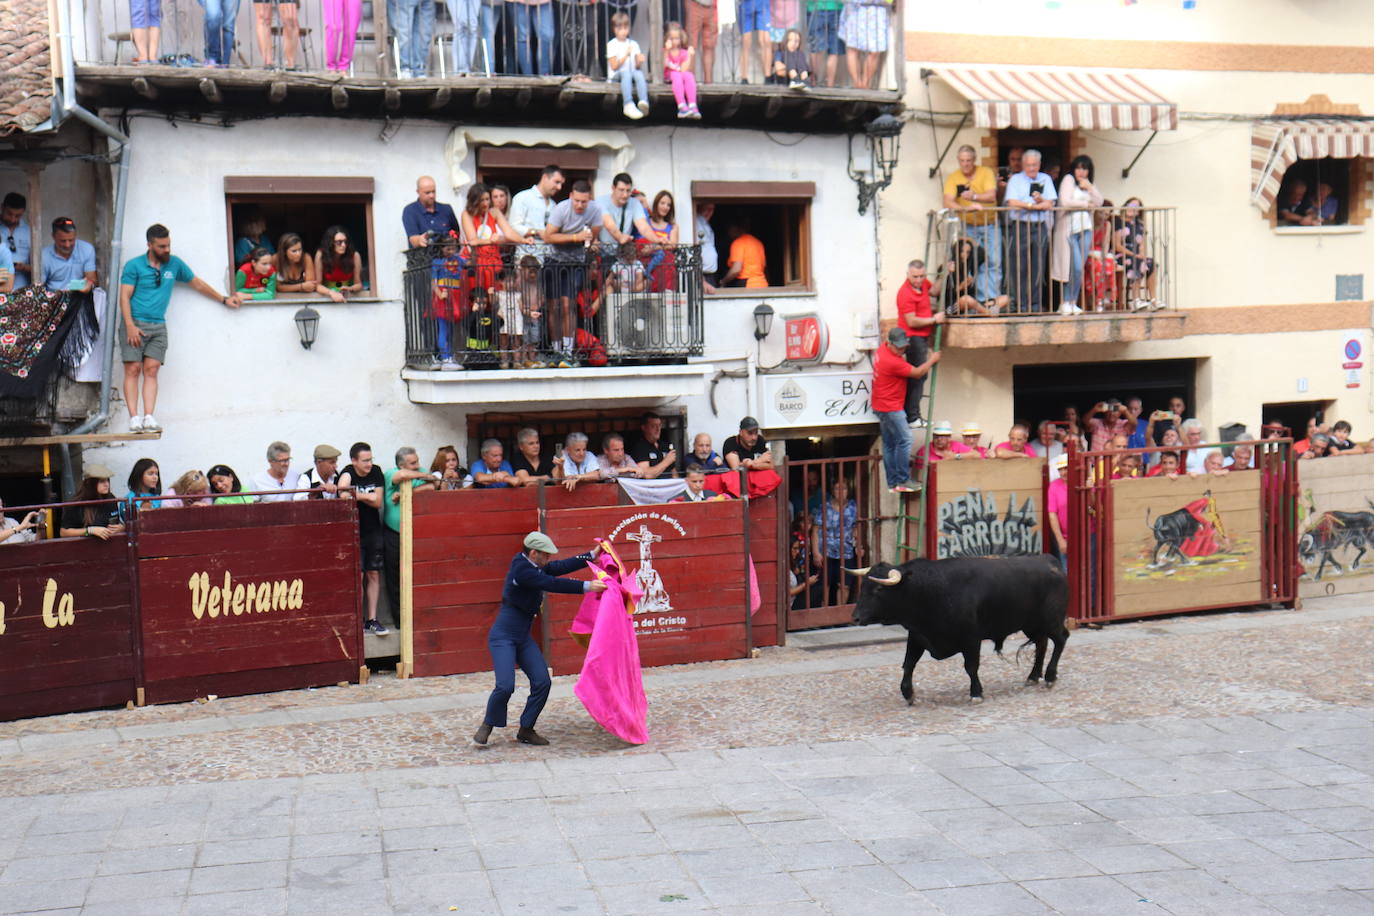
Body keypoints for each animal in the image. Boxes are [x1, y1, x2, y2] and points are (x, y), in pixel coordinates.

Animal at [851, 554, 1066, 708]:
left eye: (878, 589)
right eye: (863, 586)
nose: (855, 617)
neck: (930, 590)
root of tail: (1049, 560)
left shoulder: (971, 639)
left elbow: (971, 667)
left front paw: (976, 693)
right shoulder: (917, 637)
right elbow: (908, 664)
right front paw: (908, 693)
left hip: (1052, 620)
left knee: (1061, 639)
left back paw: (1050, 676)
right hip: (1032, 625)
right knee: (1042, 644)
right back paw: (1033, 677)